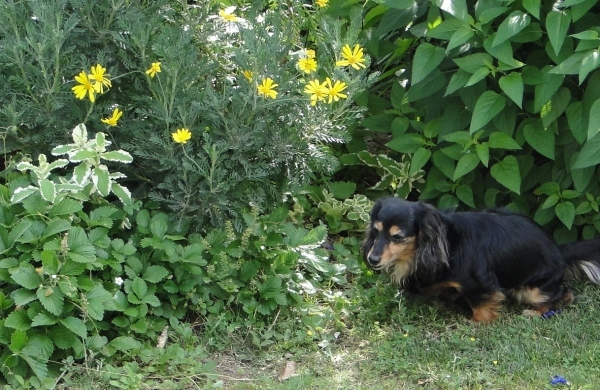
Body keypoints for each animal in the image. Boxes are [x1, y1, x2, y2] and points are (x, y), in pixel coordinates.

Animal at [360, 198, 600, 322]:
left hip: (532, 289)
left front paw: (475, 322)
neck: (446, 243)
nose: (372, 259)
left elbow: (480, 305)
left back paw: (537, 312)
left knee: (564, 294)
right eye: (376, 231)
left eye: (397, 237)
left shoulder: (476, 283)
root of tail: (558, 250)